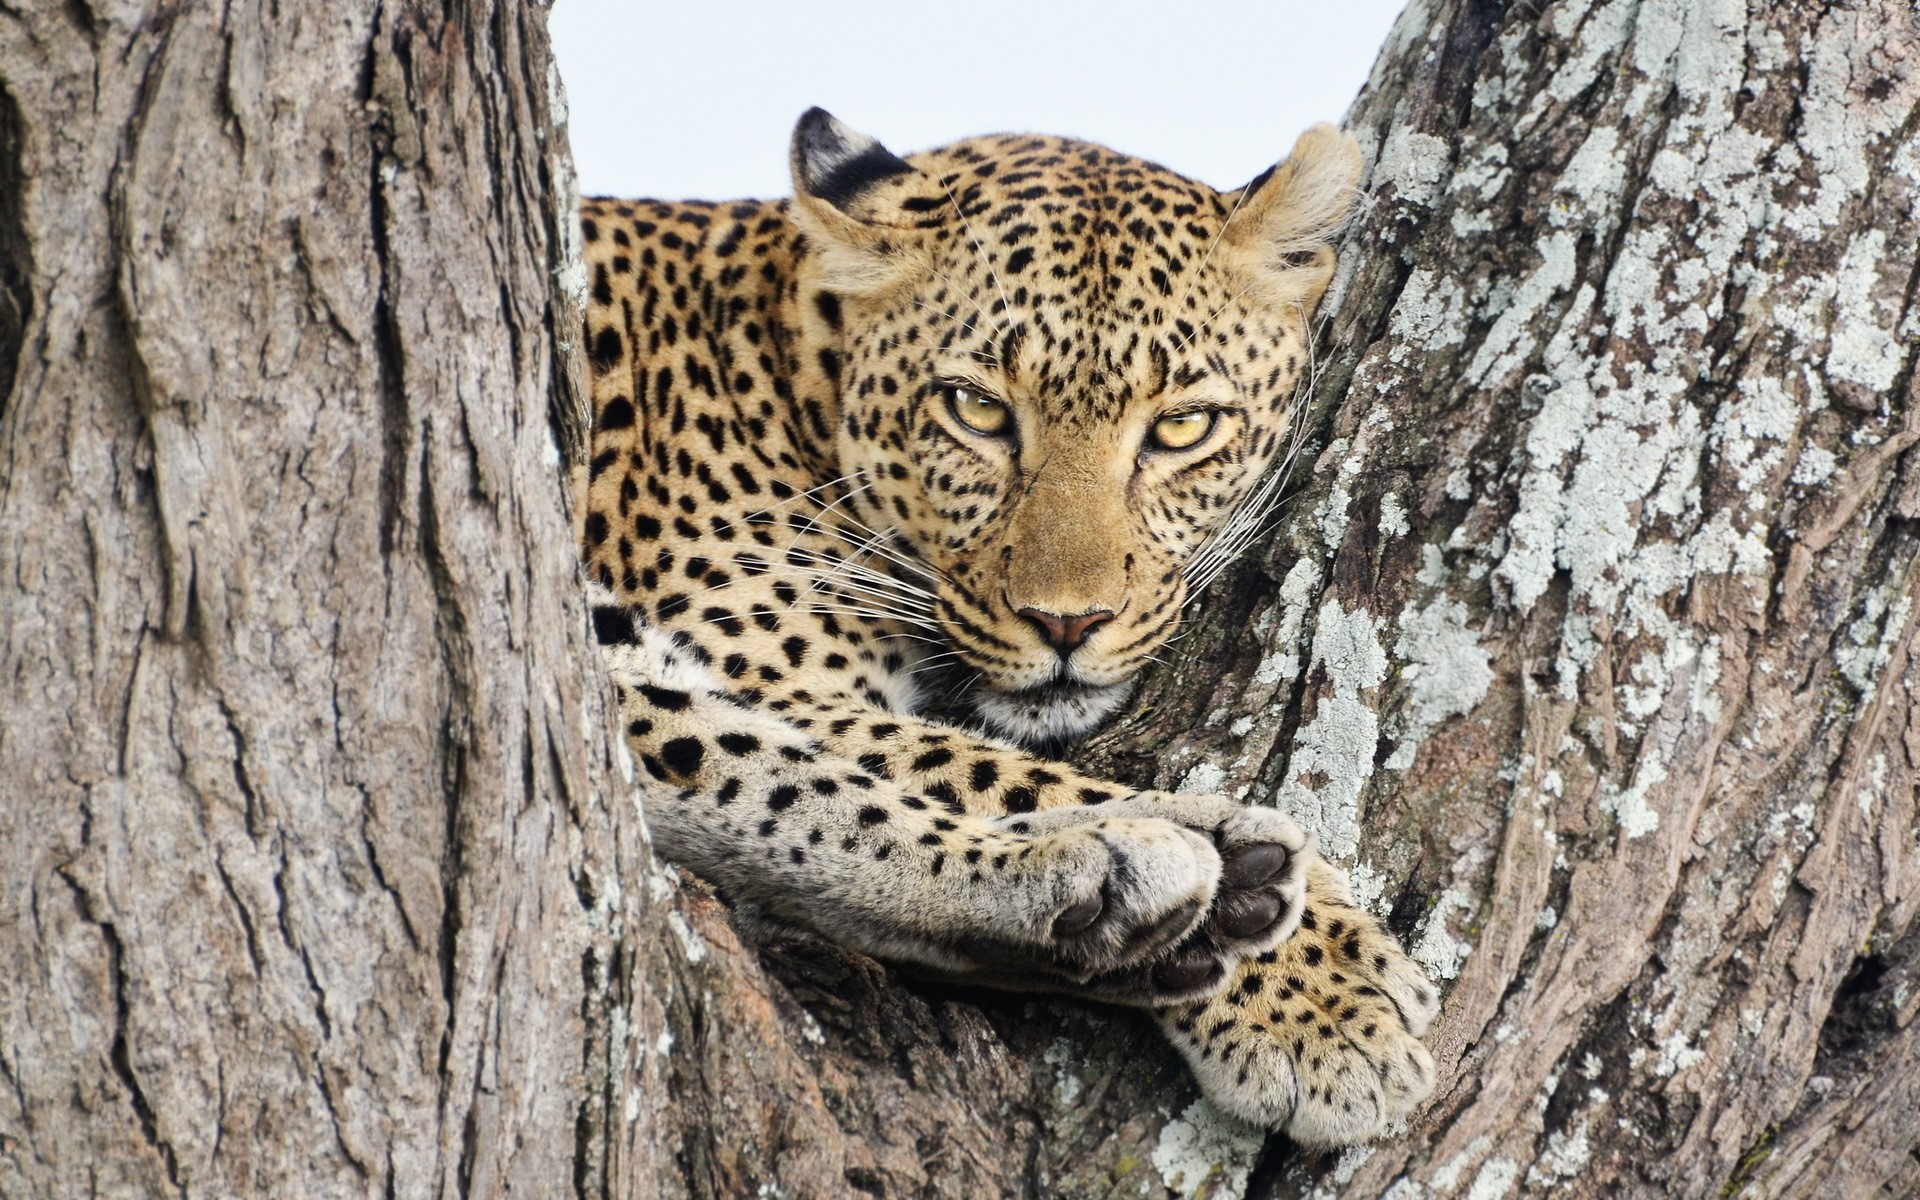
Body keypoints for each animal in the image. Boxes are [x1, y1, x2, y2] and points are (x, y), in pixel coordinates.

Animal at [575, 107, 1439, 1148]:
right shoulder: (758, 665)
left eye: (1182, 427)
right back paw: (1174, 874)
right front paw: (1316, 989)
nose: (1068, 623)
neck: (785, 363)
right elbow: (966, 762)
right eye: (977, 409)